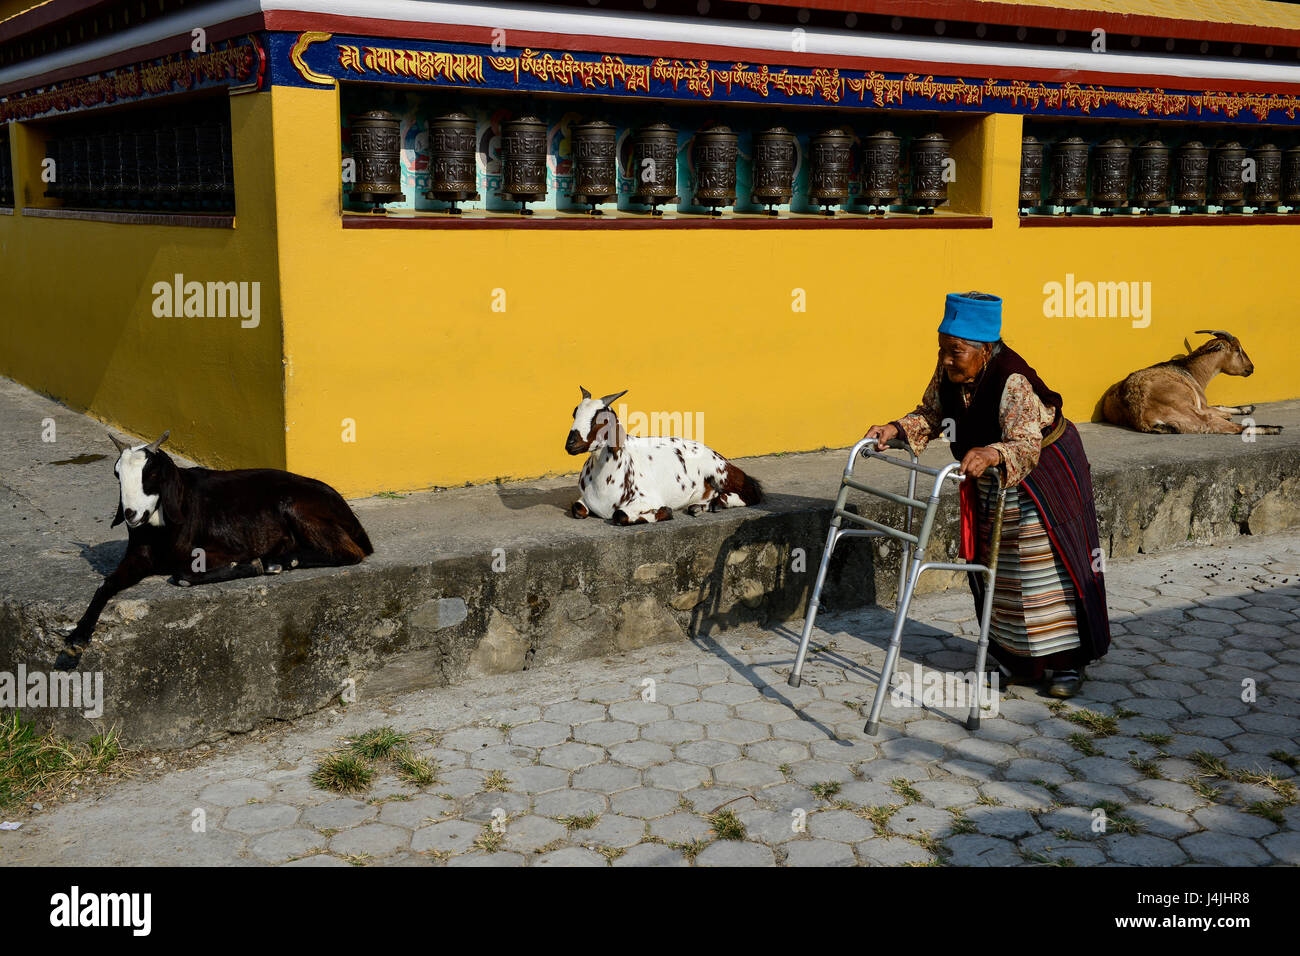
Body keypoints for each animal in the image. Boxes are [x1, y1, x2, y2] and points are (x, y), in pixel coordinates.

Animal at [55, 434, 371, 671]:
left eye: (151, 473)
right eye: (117, 474)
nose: (131, 514)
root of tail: (347, 511)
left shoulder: (228, 548)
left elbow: (183, 574)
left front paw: (253, 565)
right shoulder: (138, 557)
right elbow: (106, 584)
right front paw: (77, 638)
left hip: (296, 507)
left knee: (350, 552)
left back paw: (278, 560)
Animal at [566, 387, 759, 528]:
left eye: (600, 419)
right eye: (574, 413)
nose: (570, 443)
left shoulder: (647, 499)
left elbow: (619, 515)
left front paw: (665, 512)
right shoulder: (584, 500)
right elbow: (577, 509)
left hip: (720, 472)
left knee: (752, 493)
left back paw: (718, 503)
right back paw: (701, 507)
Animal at [1102, 329, 1284, 434]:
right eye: (1238, 350)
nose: (1250, 367)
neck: (1191, 371)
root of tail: (1137, 412)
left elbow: (1219, 405)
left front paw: (1247, 408)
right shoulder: (1201, 405)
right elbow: (1218, 411)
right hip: (1190, 413)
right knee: (1228, 426)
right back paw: (1273, 428)